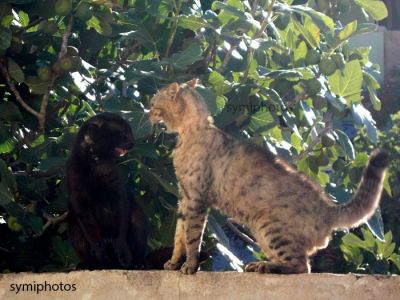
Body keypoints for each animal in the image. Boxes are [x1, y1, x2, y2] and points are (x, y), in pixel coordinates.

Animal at [148, 79, 390, 274]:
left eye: (153, 104)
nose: (146, 112)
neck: (188, 135)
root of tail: (329, 208)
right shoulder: (184, 199)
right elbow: (178, 236)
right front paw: (173, 264)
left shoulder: (196, 200)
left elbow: (192, 239)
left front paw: (189, 267)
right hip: (261, 232)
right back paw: (259, 265)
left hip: (269, 229)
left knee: (302, 267)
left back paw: (265, 267)